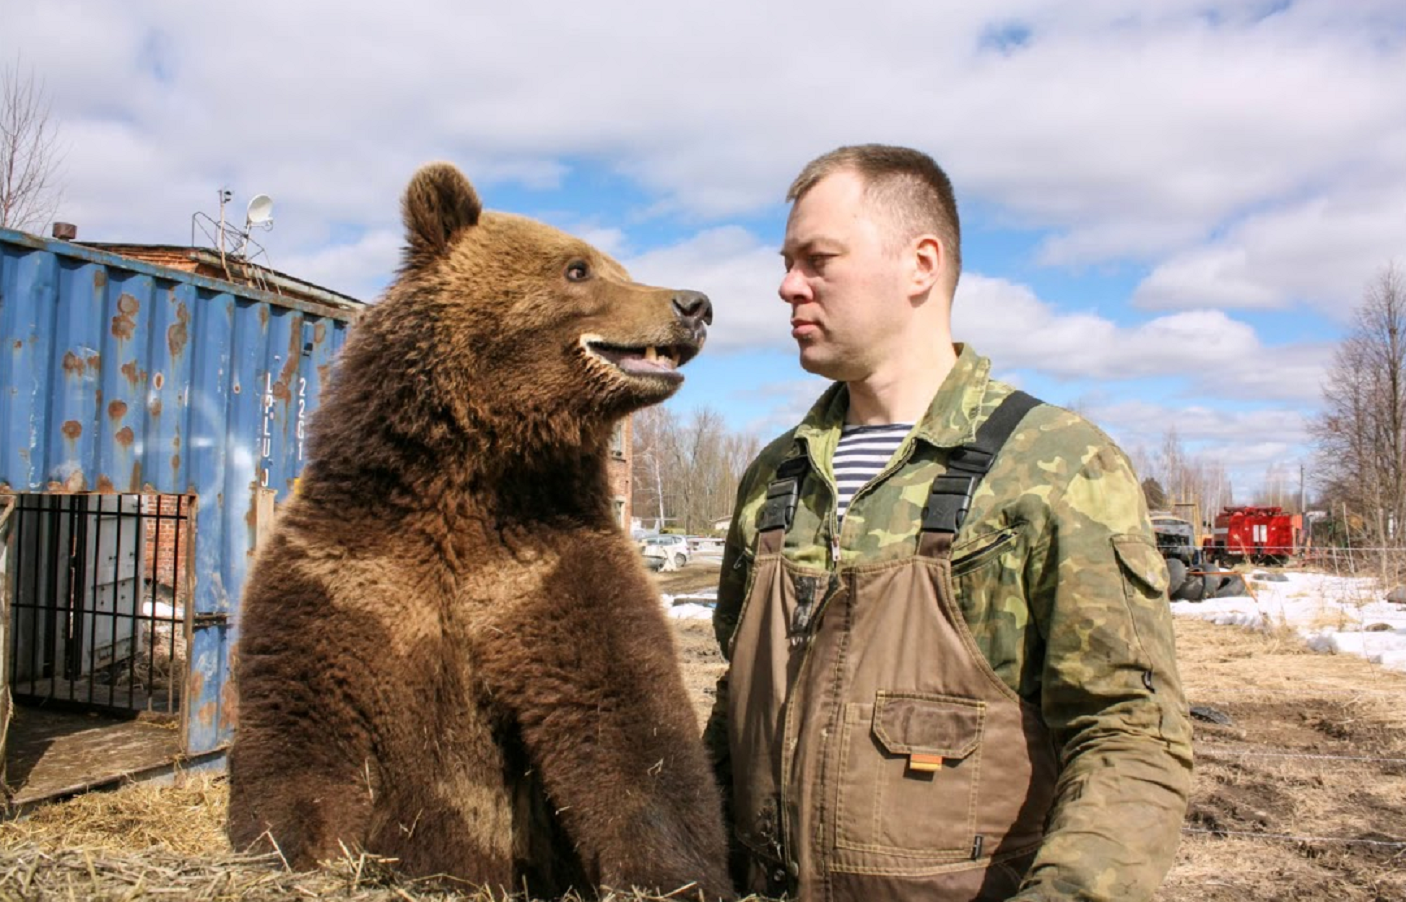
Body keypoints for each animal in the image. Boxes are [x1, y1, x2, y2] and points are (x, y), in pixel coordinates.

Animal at [224, 158, 731, 893]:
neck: (471, 474)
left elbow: (627, 726)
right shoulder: (344, 568)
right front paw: (289, 850)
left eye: (618, 264)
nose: (694, 304)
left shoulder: (544, 567)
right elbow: (300, 729)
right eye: (578, 268)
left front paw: (669, 875)